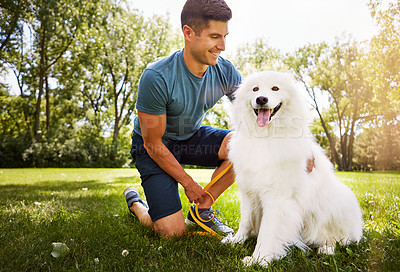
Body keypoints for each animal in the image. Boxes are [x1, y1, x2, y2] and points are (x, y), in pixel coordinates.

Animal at [223, 70, 364, 268]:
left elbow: (267, 231)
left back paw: (326, 250)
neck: (264, 136)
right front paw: (236, 241)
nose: (261, 99)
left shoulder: (277, 198)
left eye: (275, 88)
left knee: (339, 240)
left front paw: (260, 259)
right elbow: (246, 221)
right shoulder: (249, 192)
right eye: (255, 89)